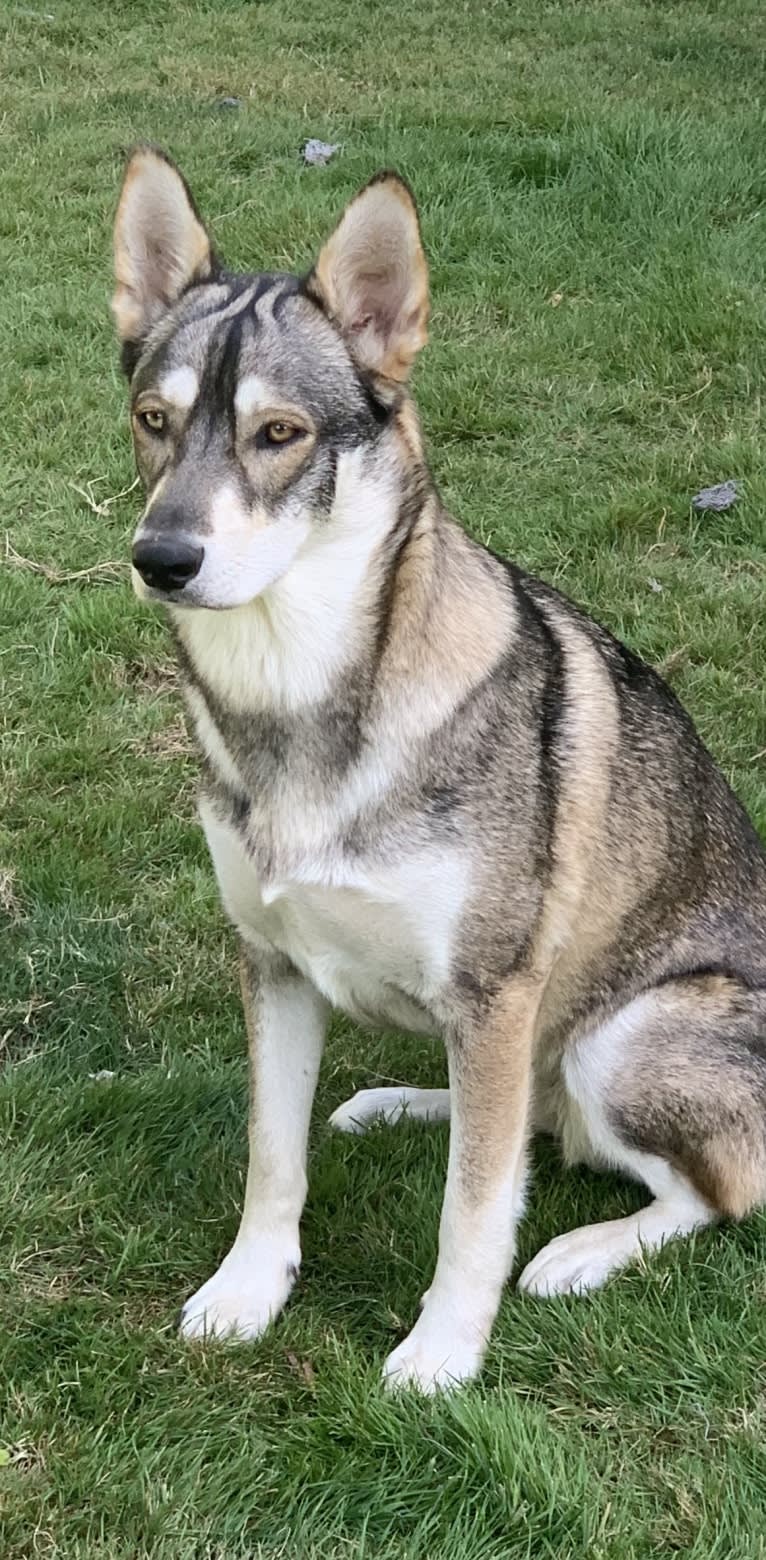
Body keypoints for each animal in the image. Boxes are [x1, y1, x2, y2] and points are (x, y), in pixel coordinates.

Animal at [109, 146, 766, 1391]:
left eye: (280, 433)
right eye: (153, 420)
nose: (161, 558)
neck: (298, 697)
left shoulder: (496, 989)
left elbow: (473, 1208)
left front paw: (444, 1351)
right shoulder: (274, 964)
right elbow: (273, 1158)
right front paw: (246, 1292)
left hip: (621, 1038)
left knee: (710, 1185)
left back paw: (583, 1251)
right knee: (524, 1122)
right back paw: (401, 1103)